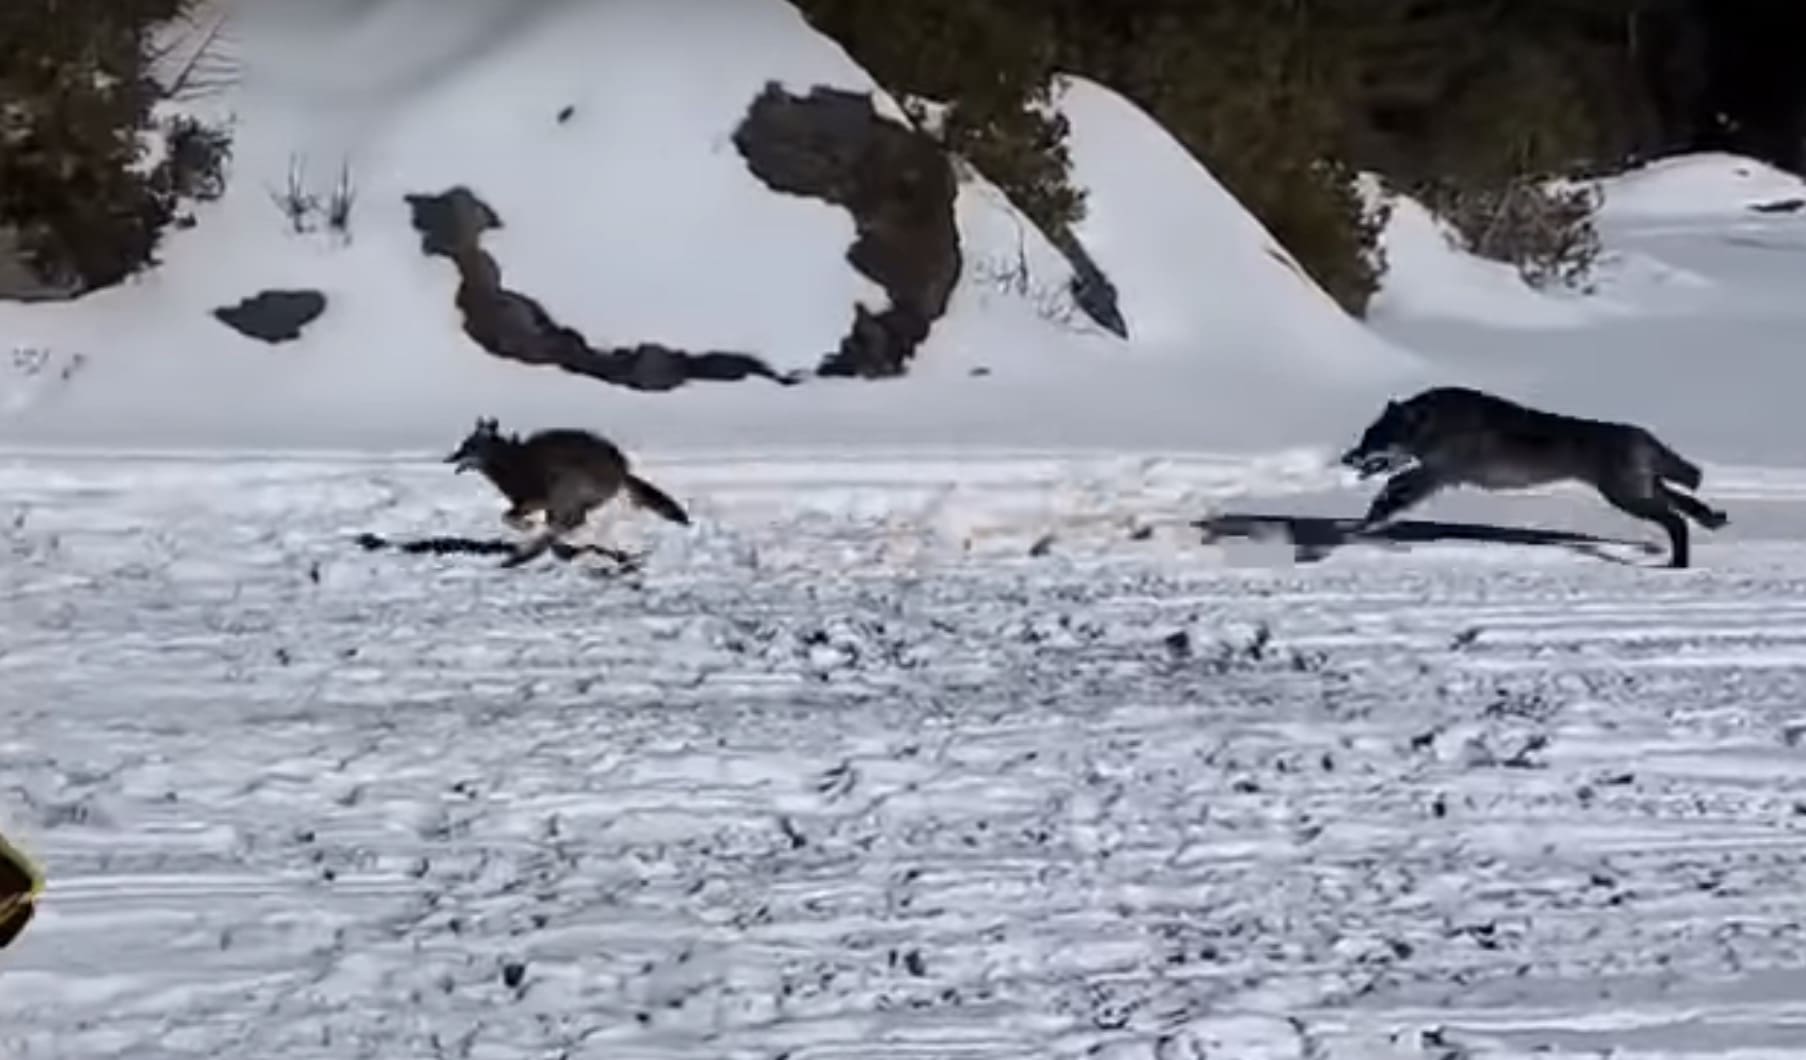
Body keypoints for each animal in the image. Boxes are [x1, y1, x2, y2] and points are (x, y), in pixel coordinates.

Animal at [445, 417, 690, 567]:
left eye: (469, 446)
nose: (449, 458)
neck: (509, 462)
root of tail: (622, 469)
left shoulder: (535, 499)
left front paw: (528, 527)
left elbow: (507, 516)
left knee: (573, 521)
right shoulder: (543, 505)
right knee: (572, 522)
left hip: (566, 485)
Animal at [1339, 386, 1728, 568]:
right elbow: (1390, 492)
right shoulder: (1433, 473)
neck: (1436, 423)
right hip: (1641, 490)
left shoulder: (1437, 474)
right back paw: (1712, 522)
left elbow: (1392, 492)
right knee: (1687, 505)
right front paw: (1362, 524)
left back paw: (1678, 564)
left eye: (1374, 439)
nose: (1348, 457)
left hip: (1627, 496)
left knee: (1677, 520)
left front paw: (1361, 527)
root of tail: (1643, 436)